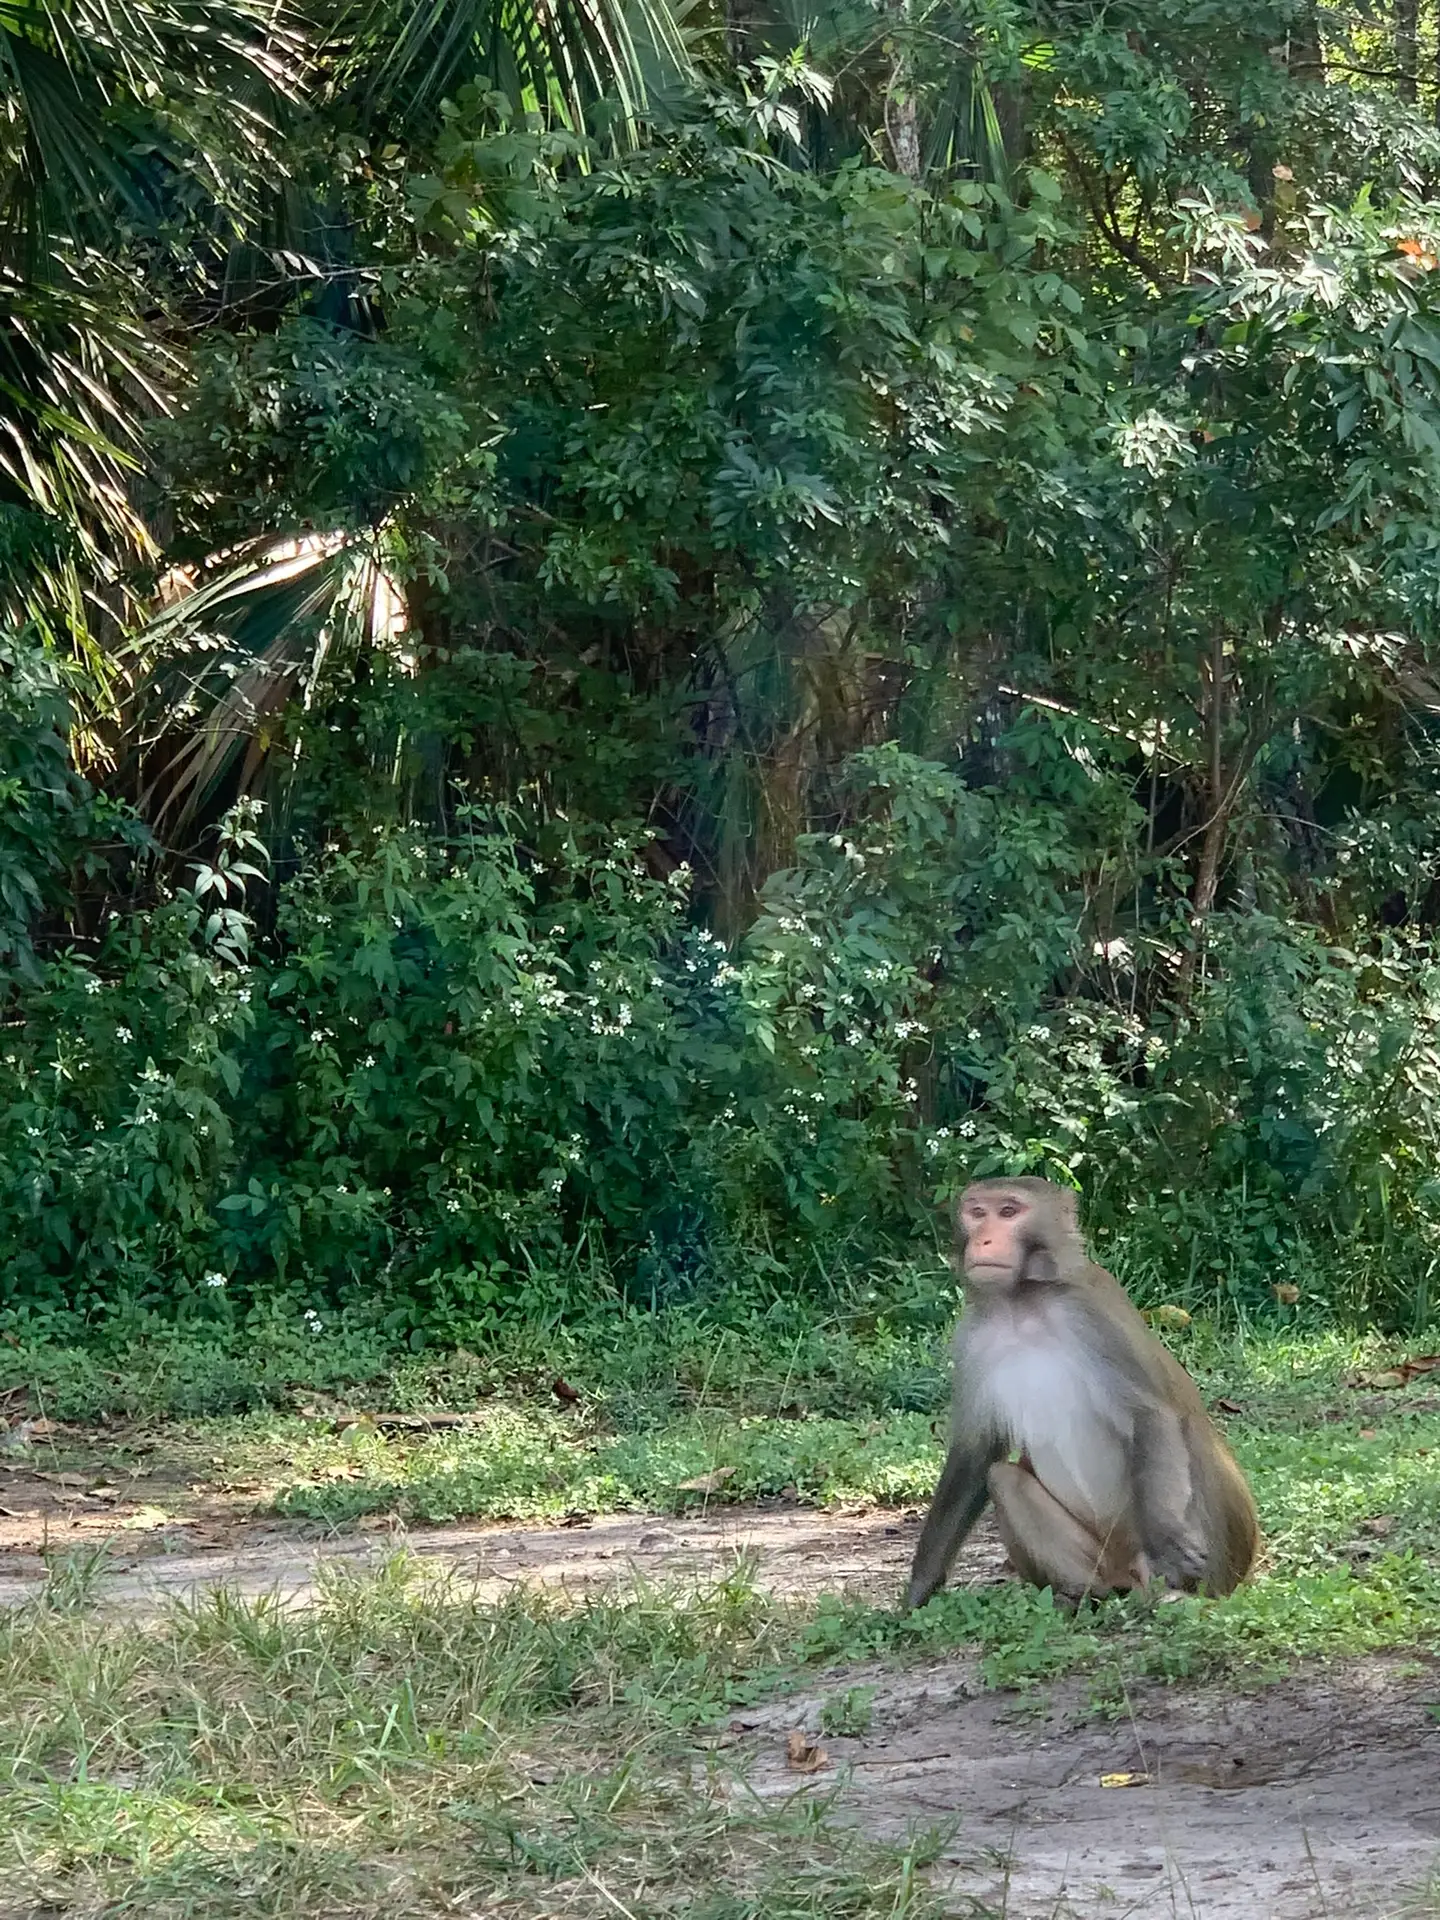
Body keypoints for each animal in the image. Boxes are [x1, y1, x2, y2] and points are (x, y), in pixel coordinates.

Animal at [906, 1175, 1259, 1612]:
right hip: (1103, 1558)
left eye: (1008, 1211)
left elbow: (1150, 1414)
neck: (1024, 1303)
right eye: (977, 1212)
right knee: (1003, 1478)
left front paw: (1167, 1540)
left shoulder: (1091, 1311)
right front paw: (918, 1591)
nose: (984, 1240)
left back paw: (1173, 1592)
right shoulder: (972, 1334)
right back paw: (1084, 1596)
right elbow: (977, 1451)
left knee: (1189, 1438)